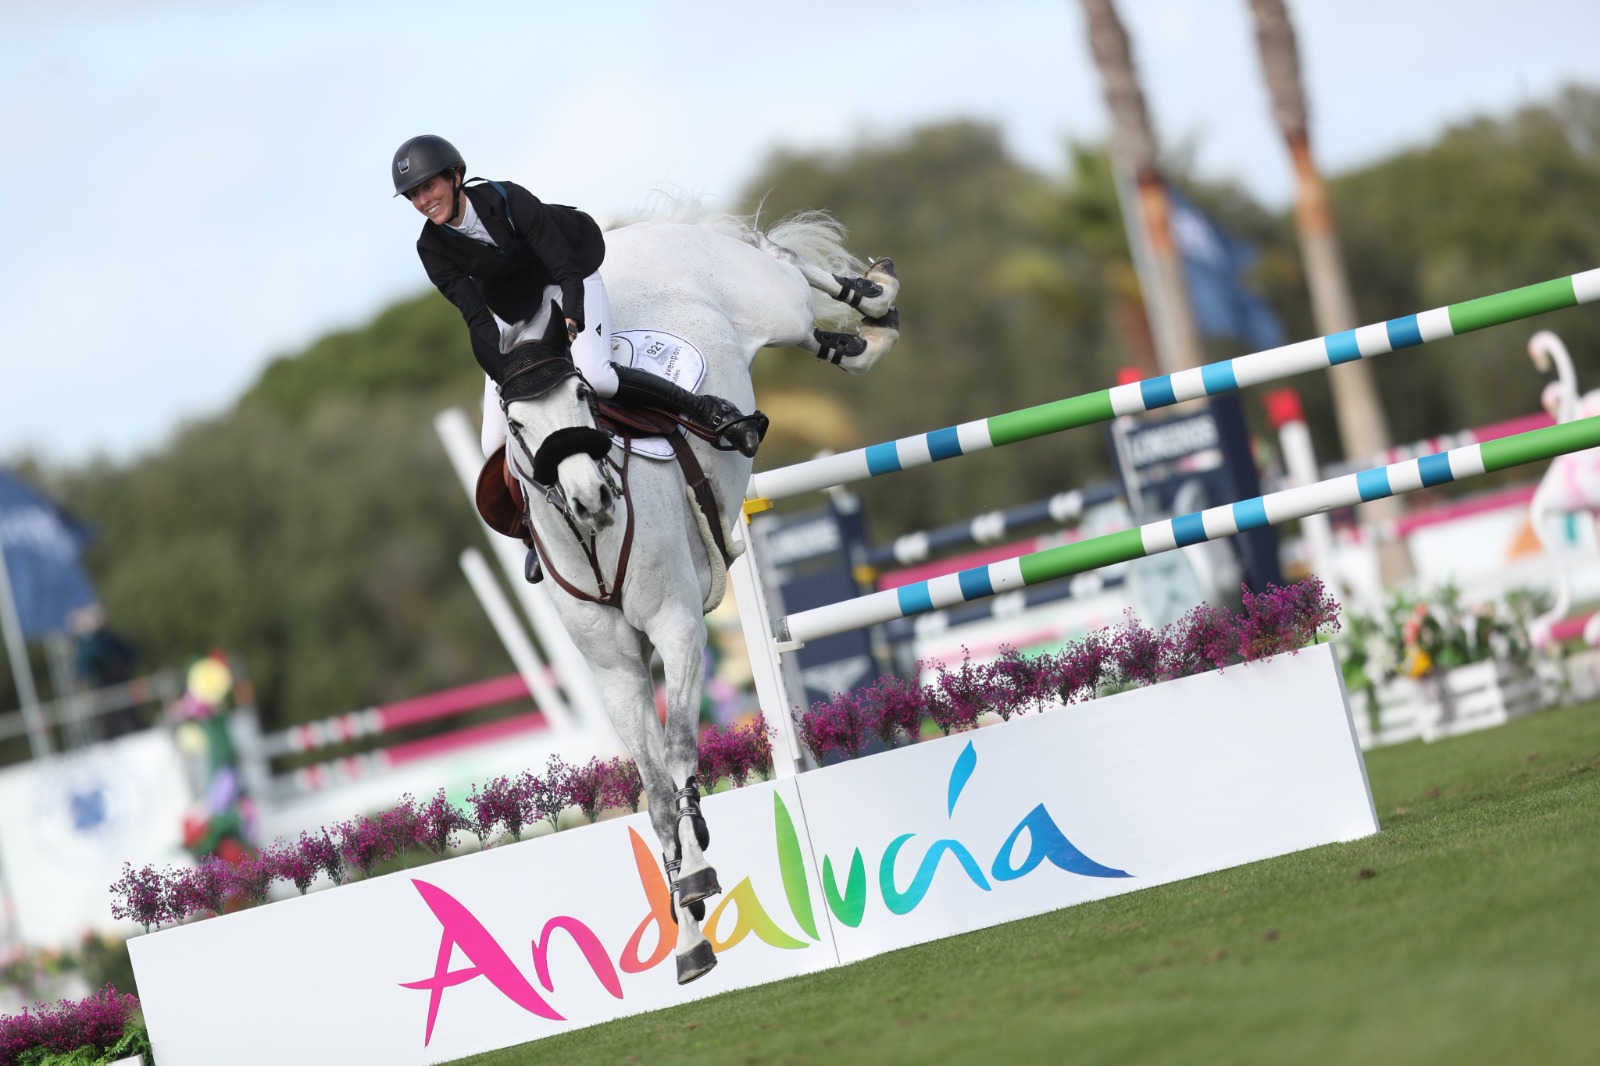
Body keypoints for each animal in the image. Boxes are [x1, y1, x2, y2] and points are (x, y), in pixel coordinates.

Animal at [489, 208, 898, 984]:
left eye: (584, 398)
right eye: (519, 427)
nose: (592, 500)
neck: (592, 542)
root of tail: (641, 238)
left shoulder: (677, 629)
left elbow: (681, 748)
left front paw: (702, 873)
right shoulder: (616, 671)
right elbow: (653, 792)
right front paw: (687, 935)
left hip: (768, 299)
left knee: (785, 266)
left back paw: (873, 298)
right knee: (816, 318)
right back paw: (864, 332)